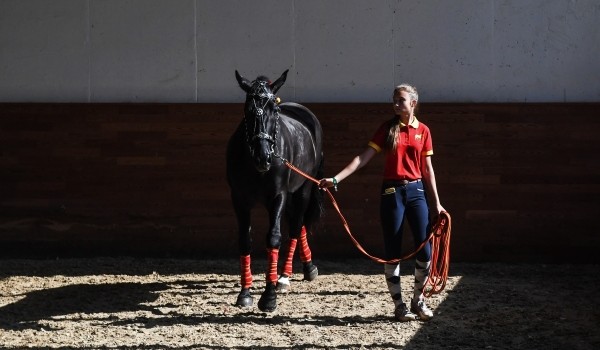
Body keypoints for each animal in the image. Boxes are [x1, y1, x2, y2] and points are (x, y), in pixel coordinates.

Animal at [227, 69, 324, 310]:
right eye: (248, 110)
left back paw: (285, 276)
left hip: (302, 190)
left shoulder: (278, 196)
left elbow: (274, 238)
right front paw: (245, 293)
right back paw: (306, 267)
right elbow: (245, 240)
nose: (263, 157)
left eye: (274, 110)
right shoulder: (239, 199)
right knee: (297, 224)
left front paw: (269, 296)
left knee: (296, 225)